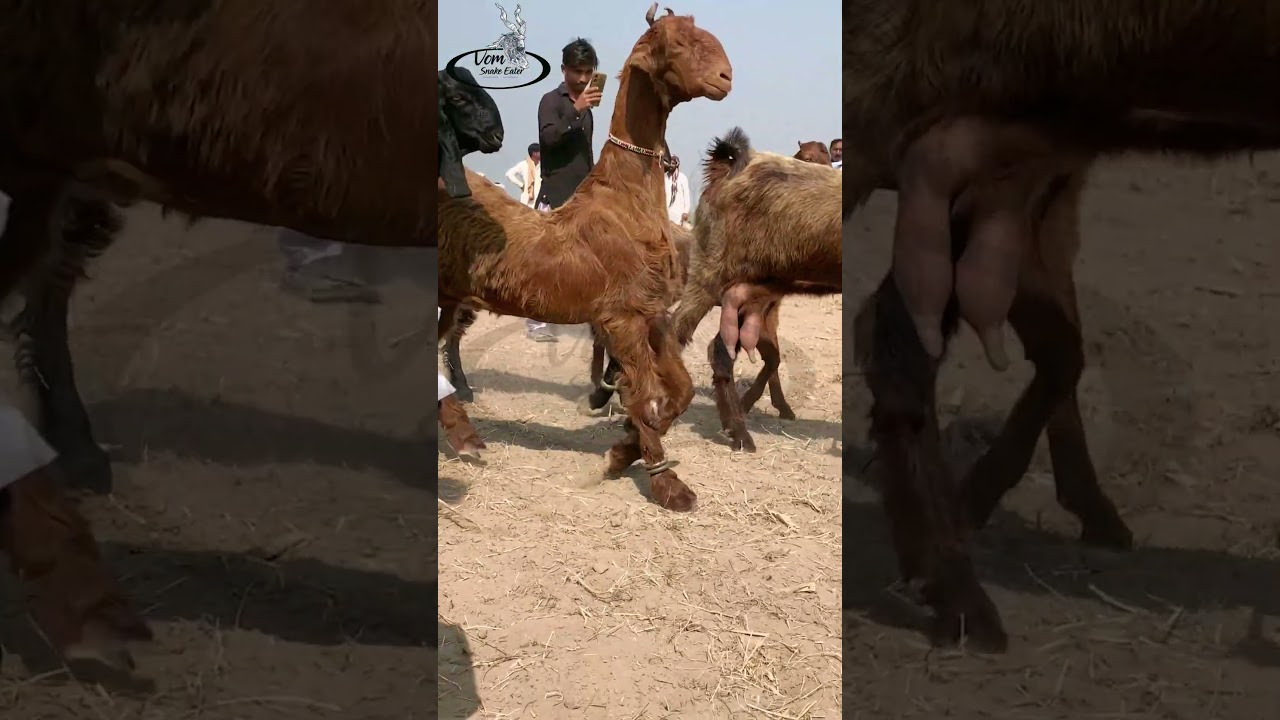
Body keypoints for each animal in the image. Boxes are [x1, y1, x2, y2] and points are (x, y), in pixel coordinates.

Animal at [437, 4, 733, 512]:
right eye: (675, 43)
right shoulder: (621, 319)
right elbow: (643, 396)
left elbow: (677, 392)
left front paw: (622, 452)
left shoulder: (651, 314)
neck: (625, 200)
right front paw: (664, 481)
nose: (725, 77)